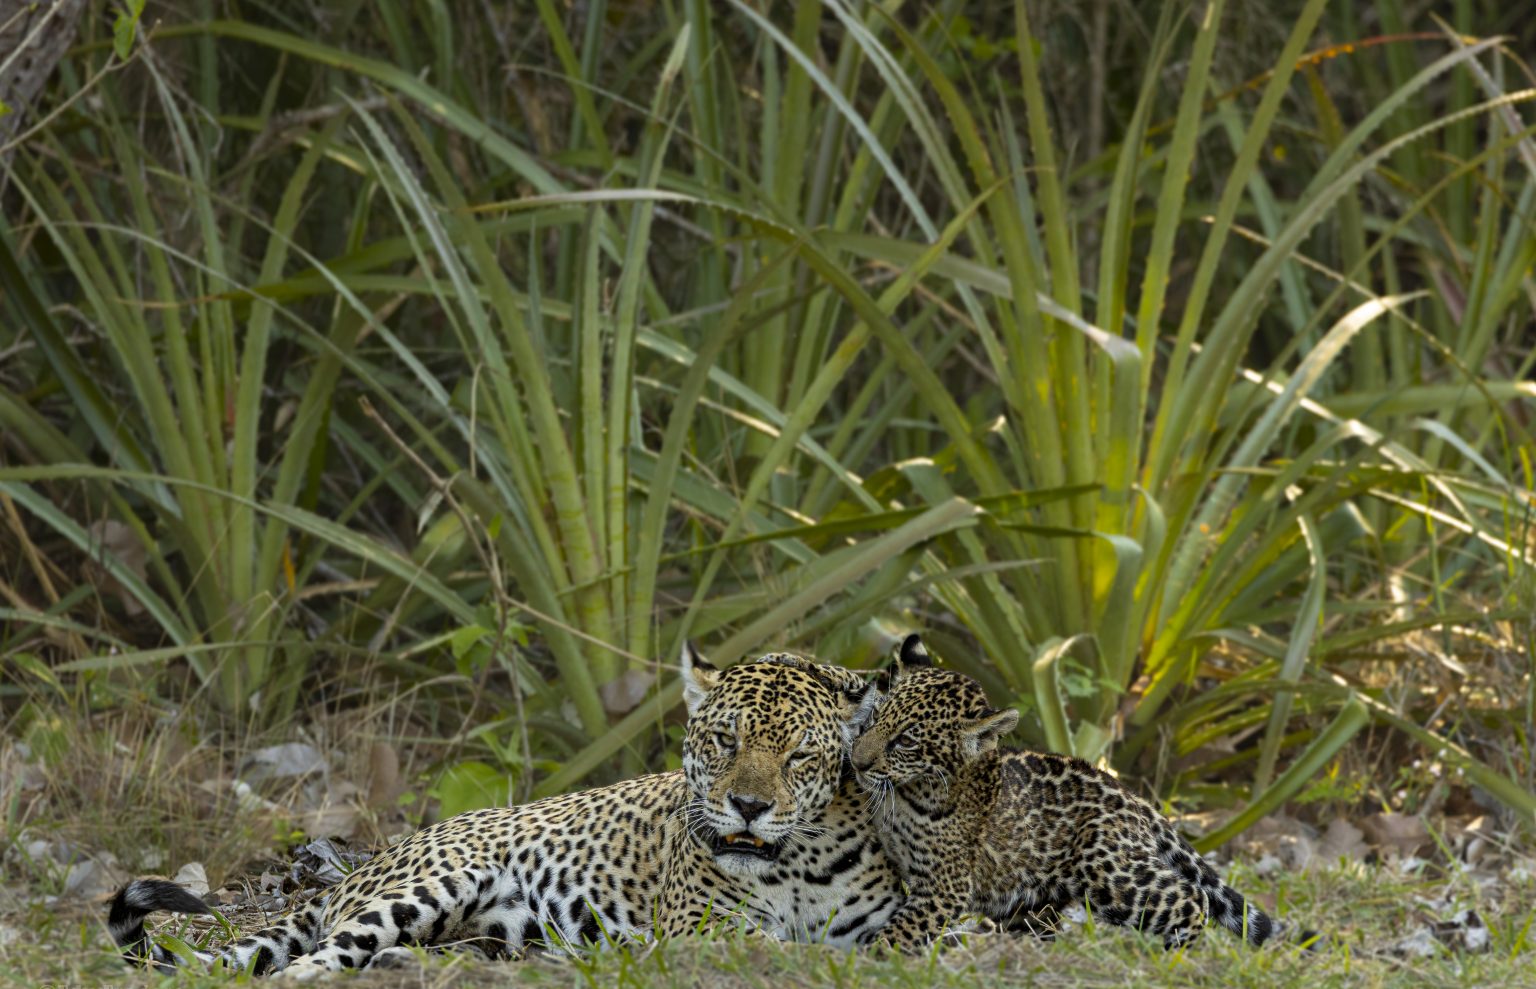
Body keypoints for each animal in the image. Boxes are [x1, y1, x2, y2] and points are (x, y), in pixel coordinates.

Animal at [107, 648, 902, 978]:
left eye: (799, 756)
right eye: (725, 740)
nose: (748, 804)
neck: (795, 866)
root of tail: (364, 865)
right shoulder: (707, 929)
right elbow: (783, 949)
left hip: (492, 930)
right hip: (430, 885)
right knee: (313, 959)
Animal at [850, 634, 1276, 952]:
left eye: (906, 741)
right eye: (875, 717)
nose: (856, 761)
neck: (910, 796)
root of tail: (1136, 801)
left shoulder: (942, 888)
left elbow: (899, 931)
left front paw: (874, 959)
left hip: (1111, 874)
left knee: (1190, 899)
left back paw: (1171, 958)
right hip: (1034, 895)